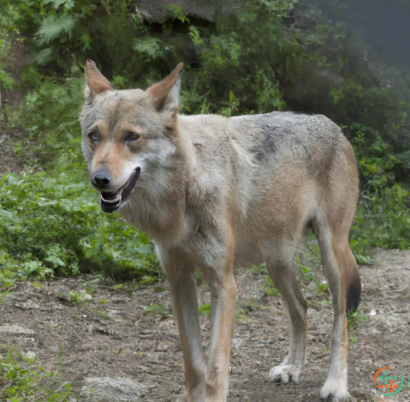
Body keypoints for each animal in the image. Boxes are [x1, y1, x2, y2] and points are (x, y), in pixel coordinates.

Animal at [79, 60, 358, 402]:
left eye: (132, 137)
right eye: (94, 135)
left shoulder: (224, 284)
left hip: (331, 255)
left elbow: (215, 368)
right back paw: (292, 368)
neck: (185, 190)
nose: (100, 179)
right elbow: (194, 363)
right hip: (276, 264)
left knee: (340, 320)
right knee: (302, 307)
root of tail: (334, 126)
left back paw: (336, 385)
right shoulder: (179, 279)